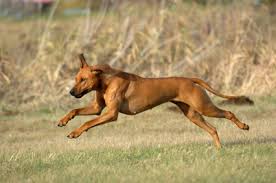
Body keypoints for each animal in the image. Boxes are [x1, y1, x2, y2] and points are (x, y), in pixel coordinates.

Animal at [57, 53, 249, 148]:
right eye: (76, 79)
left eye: (83, 80)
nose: (71, 92)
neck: (106, 80)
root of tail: (189, 79)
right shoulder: (97, 108)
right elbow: (76, 111)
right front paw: (63, 120)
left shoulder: (111, 114)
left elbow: (88, 122)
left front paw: (75, 132)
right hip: (193, 114)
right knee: (212, 129)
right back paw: (218, 149)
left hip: (204, 107)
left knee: (228, 113)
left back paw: (243, 126)